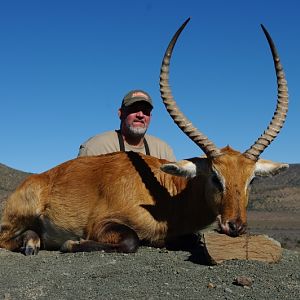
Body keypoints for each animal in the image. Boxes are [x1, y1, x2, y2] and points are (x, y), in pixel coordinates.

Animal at [0, 17, 290, 254]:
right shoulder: (102, 224)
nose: (235, 226)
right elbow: (132, 241)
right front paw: (70, 242)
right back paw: (32, 243)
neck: (169, 196)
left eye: (251, 180)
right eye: (215, 177)